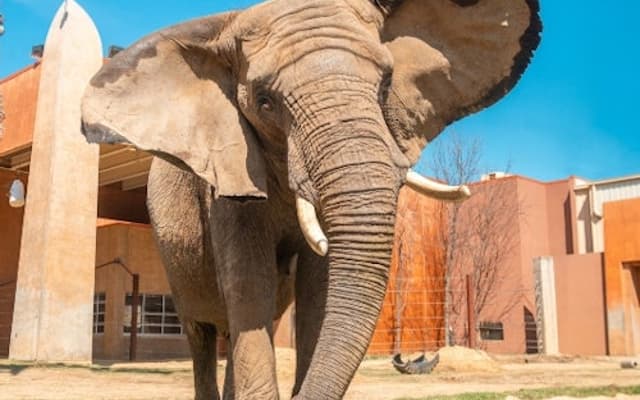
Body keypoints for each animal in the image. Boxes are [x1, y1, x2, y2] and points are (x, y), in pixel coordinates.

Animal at [81, 0, 541, 398]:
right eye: (265, 101)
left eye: (385, 85)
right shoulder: (228, 177)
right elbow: (250, 281)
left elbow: (317, 289)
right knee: (203, 333)